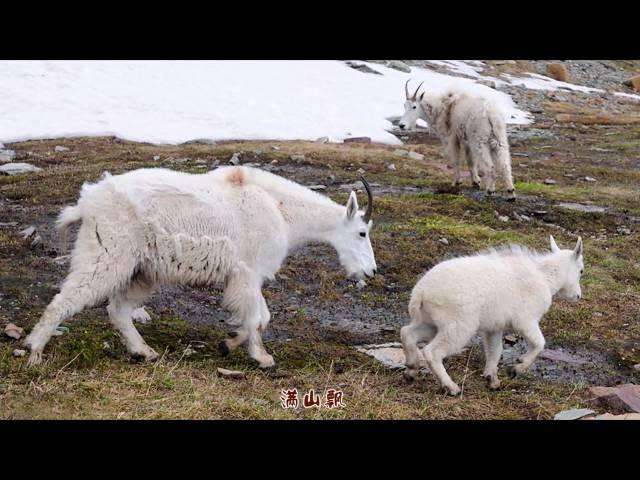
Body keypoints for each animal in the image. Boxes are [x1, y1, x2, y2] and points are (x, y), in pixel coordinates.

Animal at [22, 165, 378, 368]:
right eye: (362, 233)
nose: (371, 272)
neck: (282, 210)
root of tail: (87, 203)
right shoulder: (248, 272)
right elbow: (257, 317)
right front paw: (261, 357)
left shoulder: (250, 277)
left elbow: (261, 317)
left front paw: (230, 343)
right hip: (107, 254)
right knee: (65, 300)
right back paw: (34, 353)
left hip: (143, 271)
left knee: (118, 309)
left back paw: (145, 352)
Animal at [402, 234, 584, 396]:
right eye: (581, 271)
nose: (578, 296)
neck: (546, 278)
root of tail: (420, 292)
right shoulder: (526, 320)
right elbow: (540, 343)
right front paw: (516, 368)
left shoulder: (494, 327)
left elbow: (495, 350)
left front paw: (492, 379)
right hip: (458, 325)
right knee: (432, 351)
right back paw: (450, 386)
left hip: (432, 322)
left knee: (407, 333)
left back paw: (411, 369)